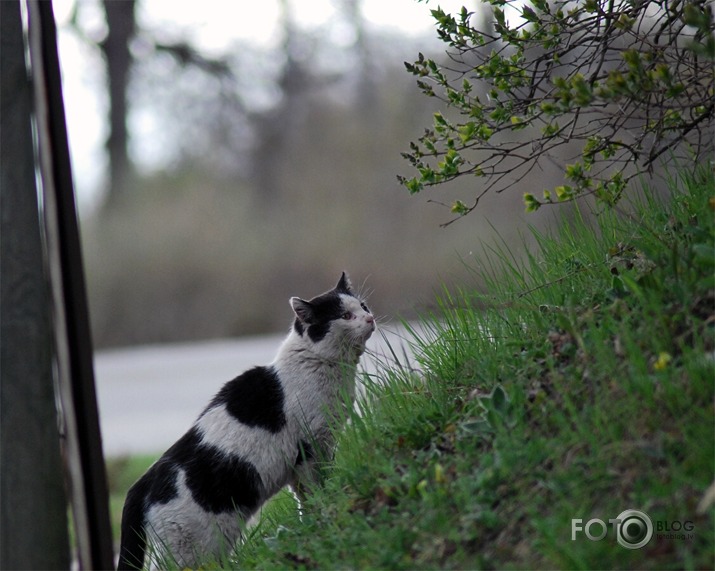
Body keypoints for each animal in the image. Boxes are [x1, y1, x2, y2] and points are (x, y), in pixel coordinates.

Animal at [117, 274, 374, 568]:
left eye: (363, 306)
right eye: (345, 315)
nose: (370, 318)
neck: (318, 365)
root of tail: (141, 483)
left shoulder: (302, 463)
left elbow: (304, 498)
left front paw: (314, 516)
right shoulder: (312, 447)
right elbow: (317, 484)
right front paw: (327, 502)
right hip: (192, 550)